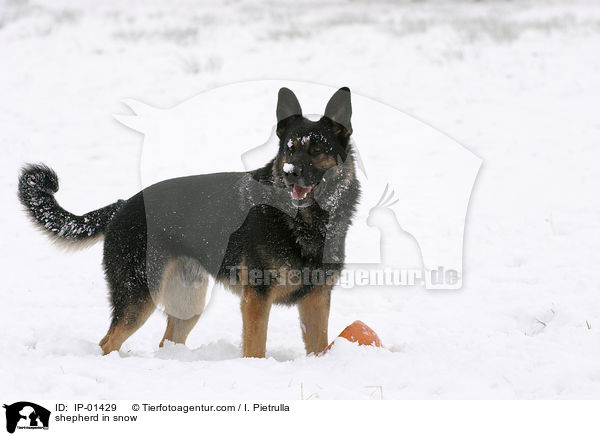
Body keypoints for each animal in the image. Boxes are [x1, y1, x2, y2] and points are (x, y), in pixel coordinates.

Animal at [16, 86, 358, 358]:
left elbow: (319, 346)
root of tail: (123, 205)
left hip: (187, 302)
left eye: (316, 149)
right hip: (139, 298)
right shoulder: (256, 300)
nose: (289, 173)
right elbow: (256, 348)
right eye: (290, 149)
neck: (302, 220)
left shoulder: (316, 299)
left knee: (166, 342)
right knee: (107, 342)